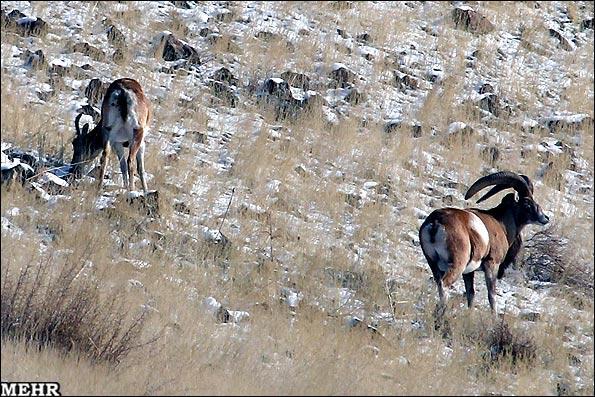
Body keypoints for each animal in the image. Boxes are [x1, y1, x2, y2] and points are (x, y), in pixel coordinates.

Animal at [420, 170, 548, 312]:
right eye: (527, 204)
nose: (545, 218)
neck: (502, 224)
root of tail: (435, 223)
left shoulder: (469, 272)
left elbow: (471, 294)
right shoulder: (492, 265)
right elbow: (491, 296)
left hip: (434, 265)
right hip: (456, 265)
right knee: (445, 284)